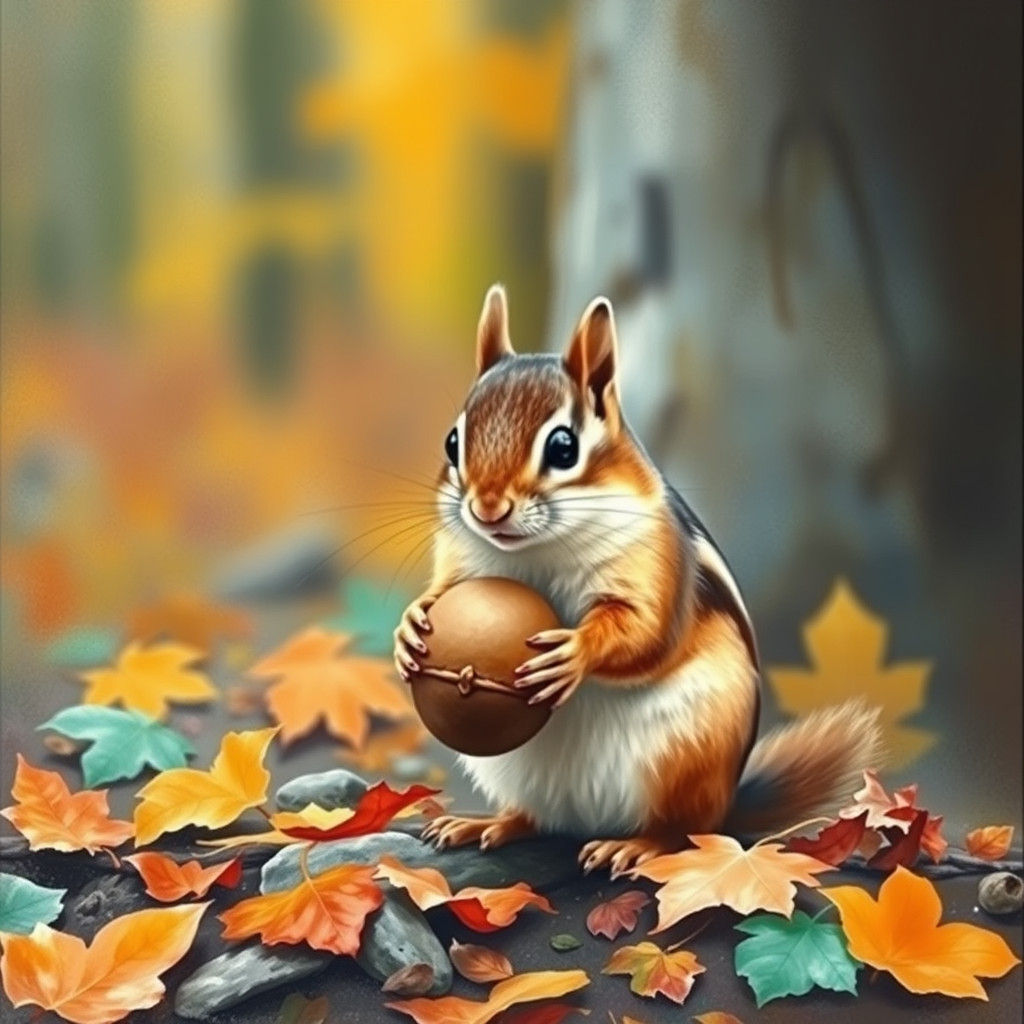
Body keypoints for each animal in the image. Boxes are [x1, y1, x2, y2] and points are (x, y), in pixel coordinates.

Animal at [395, 284, 882, 877]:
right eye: (452, 442)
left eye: (563, 448)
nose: (487, 509)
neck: (533, 550)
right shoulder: (460, 557)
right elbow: (442, 591)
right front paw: (409, 627)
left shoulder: (653, 562)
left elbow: (645, 632)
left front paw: (574, 652)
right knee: (533, 818)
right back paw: (485, 824)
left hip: (686, 751)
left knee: (681, 830)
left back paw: (633, 846)